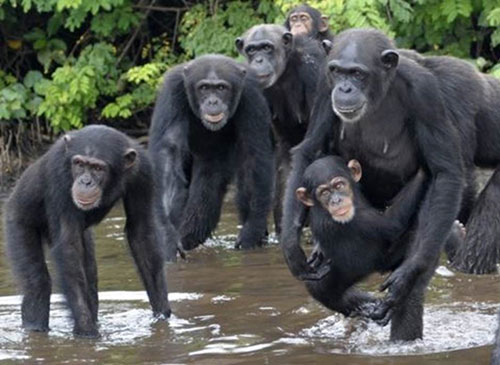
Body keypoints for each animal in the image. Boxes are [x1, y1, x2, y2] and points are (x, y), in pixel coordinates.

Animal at [2, 125, 172, 338]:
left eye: (98, 168)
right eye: (79, 164)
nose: (85, 181)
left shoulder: (143, 172)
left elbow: (141, 234)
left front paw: (162, 316)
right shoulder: (58, 173)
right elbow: (68, 245)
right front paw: (86, 331)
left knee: (90, 279)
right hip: (17, 220)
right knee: (37, 284)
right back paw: (36, 327)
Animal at [148, 53, 274, 258]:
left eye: (221, 88)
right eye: (204, 88)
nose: (213, 101)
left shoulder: (251, 94)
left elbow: (253, 154)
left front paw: (251, 231)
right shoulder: (172, 91)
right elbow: (169, 153)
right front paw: (167, 236)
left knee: (208, 187)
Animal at [296, 156, 438, 338]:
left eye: (339, 185)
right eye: (324, 193)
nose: (336, 201)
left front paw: (318, 250)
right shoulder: (361, 219)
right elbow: (392, 224)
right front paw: (422, 171)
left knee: (323, 291)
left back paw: (371, 307)